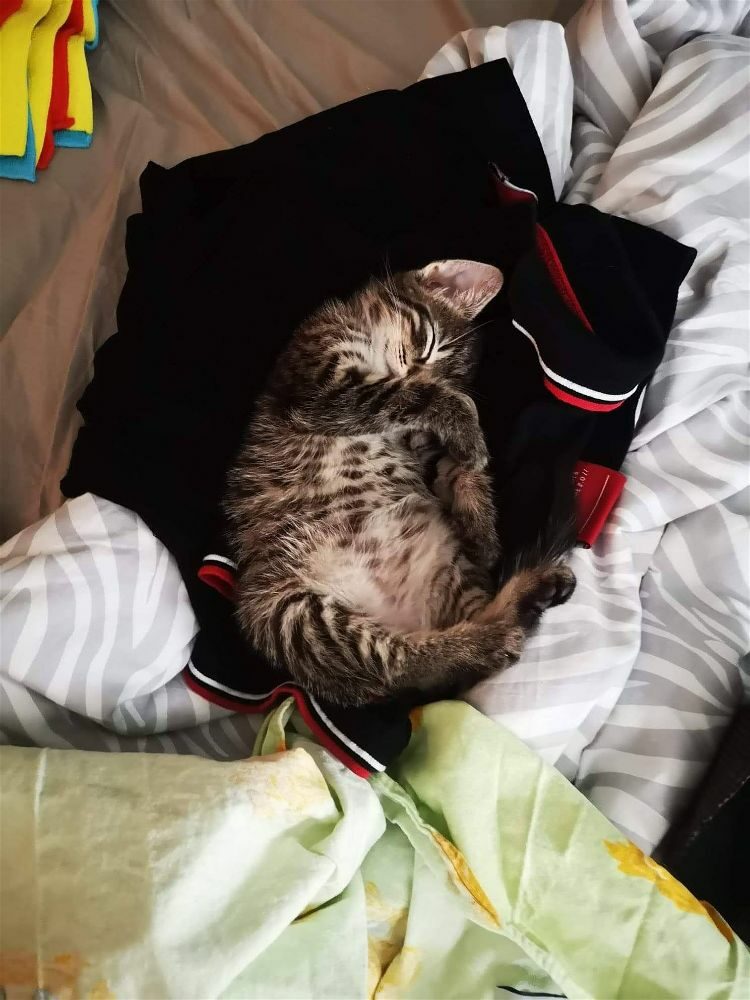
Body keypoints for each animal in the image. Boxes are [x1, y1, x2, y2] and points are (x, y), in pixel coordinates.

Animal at [225, 259, 575, 707]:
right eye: (428, 345)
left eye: (448, 372)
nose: (417, 371)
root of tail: (406, 615)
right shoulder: (318, 380)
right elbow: (402, 394)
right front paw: (464, 422)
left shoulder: (417, 442)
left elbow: (453, 467)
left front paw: (481, 528)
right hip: (295, 617)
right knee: (404, 663)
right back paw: (492, 641)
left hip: (449, 574)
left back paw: (531, 591)